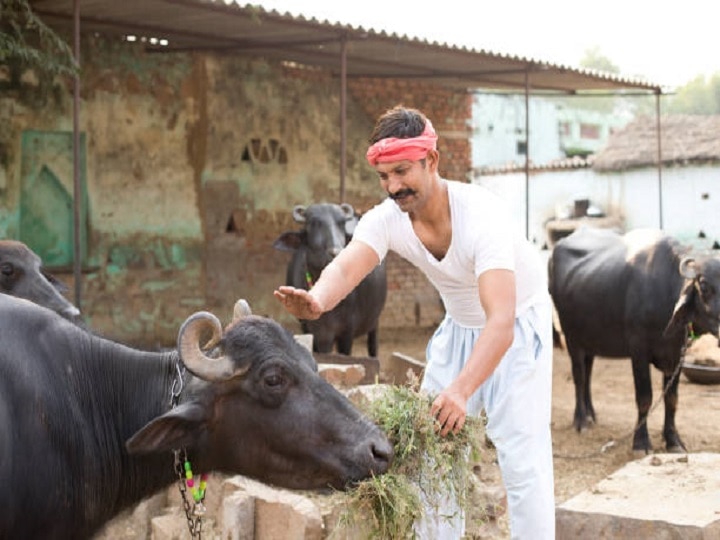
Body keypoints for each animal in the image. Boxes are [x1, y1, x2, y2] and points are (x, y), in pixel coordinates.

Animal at [274, 201, 388, 354]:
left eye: (341, 223)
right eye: (314, 222)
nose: (336, 252)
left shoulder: (347, 332)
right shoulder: (310, 330)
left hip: (374, 321)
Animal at [548, 226, 720, 454]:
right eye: (704, 286)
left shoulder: (677, 355)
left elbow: (672, 399)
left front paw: (673, 440)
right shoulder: (638, 350)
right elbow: (645, 397)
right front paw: (641, 442)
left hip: (590, 338)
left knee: (588, 372)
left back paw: (591, 414)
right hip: (571, 336)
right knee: (579, 375)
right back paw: (581, 420)